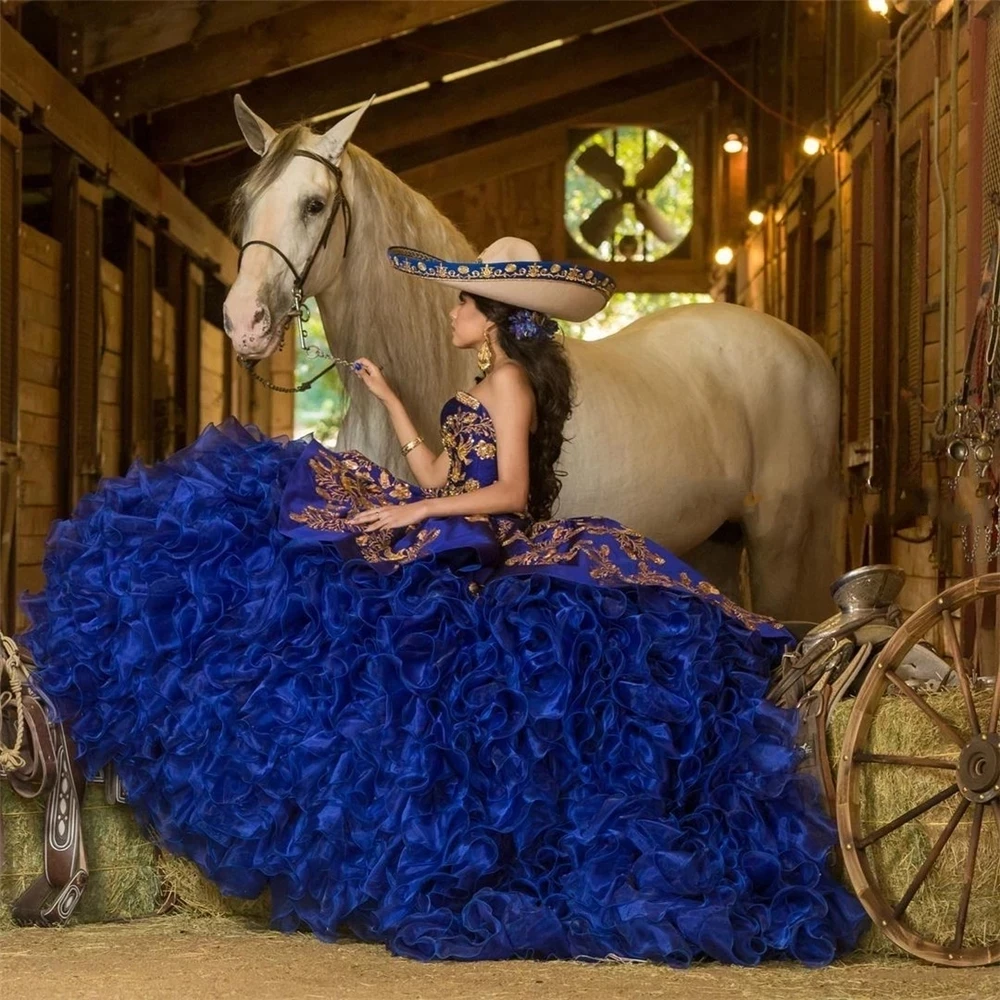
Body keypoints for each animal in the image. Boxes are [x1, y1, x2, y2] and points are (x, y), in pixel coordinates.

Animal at [223, 99, 840, 616]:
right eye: (245, 204)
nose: (243, 321)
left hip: (781, 542)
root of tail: (807, 348)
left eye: (314, 204)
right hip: (716, 540)